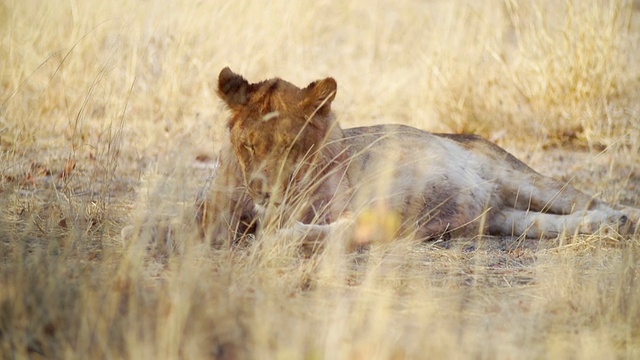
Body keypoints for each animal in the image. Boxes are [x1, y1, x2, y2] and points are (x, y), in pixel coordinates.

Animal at [200, 67, 640, 248]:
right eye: (249, 145)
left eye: (291, 146)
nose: (264, 191)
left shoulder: (377, 212)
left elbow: (332, 230)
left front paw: (284, 237)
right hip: (505, 218)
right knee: (554, 224)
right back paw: (610, 225)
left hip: (518, 177)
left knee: (586, 199)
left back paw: (623, 218)